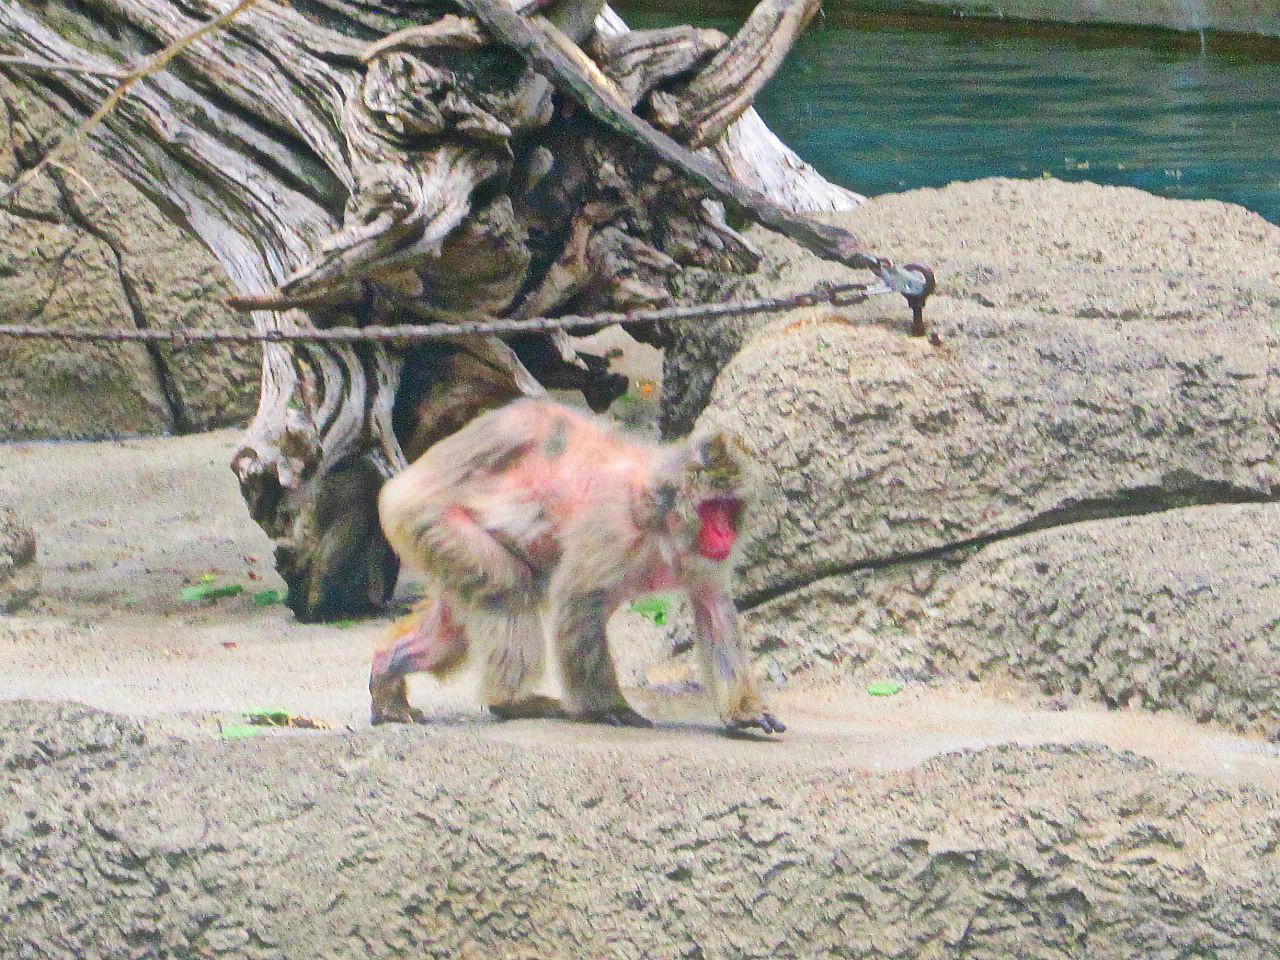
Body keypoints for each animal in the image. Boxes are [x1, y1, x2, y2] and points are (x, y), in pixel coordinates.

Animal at [369, 398, 784, 735]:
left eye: (730, 509)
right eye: (712, 508)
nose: (725, 533)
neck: (659, 518)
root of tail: (400, 486)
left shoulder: (700, 558)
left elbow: (712, 606)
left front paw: (744, 711)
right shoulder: (614, 529)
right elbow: (578, 600)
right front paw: (606, 707)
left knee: (456, 624)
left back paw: (390, 667)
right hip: (430, 521)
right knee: (507, 587)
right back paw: (512, 700)